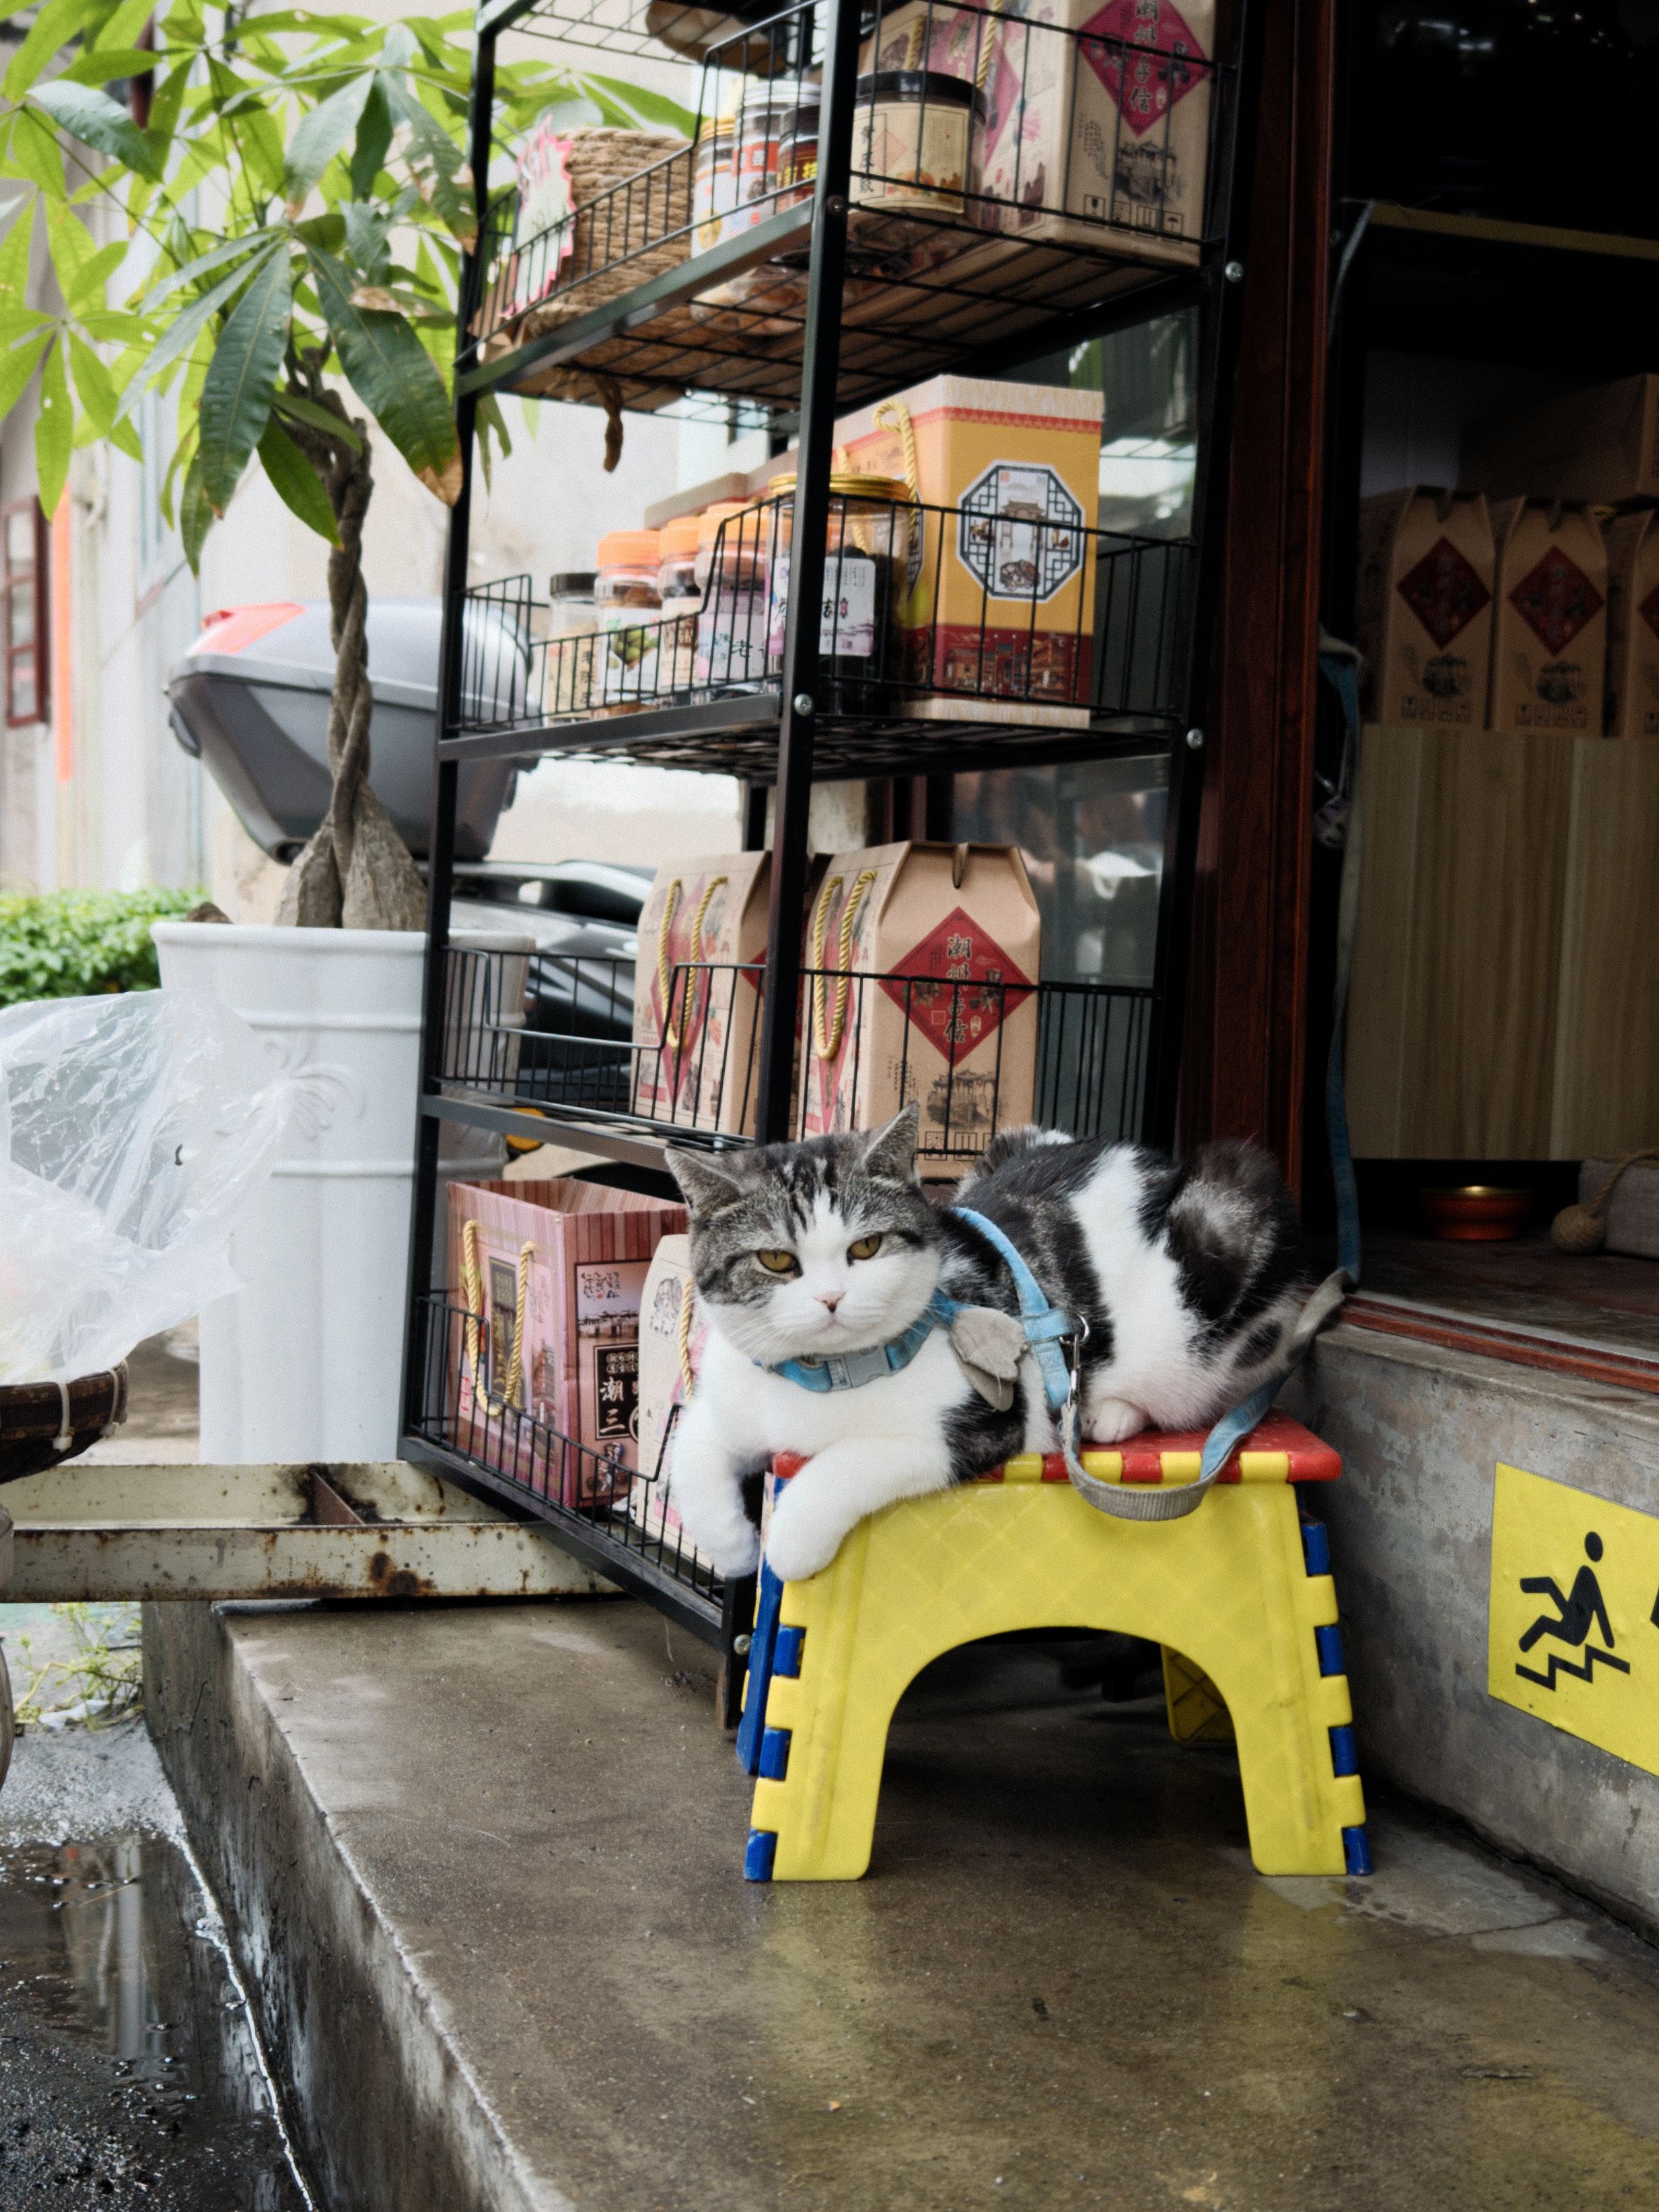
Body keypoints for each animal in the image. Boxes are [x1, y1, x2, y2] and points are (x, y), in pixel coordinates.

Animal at [663, 1103, 1314, 1586]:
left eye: (866, 1247)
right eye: (775, 1260)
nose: (830, 1298)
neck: (821, 1376)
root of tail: (1148, 1159)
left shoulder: (980, 1421)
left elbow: (849, 1463)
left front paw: (789, 1541)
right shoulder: (730, 1395)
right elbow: (687, 1453)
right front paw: (732, 1546)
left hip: (1228, 1219)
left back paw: (1111, 1411)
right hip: (1014, 1137)